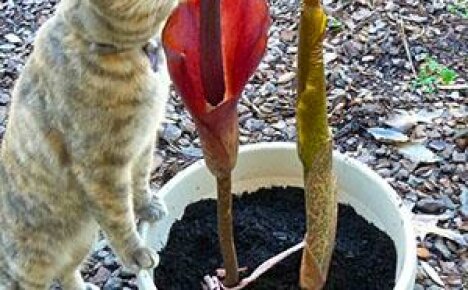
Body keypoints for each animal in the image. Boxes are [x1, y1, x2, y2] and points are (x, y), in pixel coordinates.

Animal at [0, 0, 177, 288]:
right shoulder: (102, 168)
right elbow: (119, 215)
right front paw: (136, 252)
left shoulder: (144, 143)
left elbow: (140, 179)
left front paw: (147, 204)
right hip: (31, 268)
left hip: (83, 241)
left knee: (67, 272)